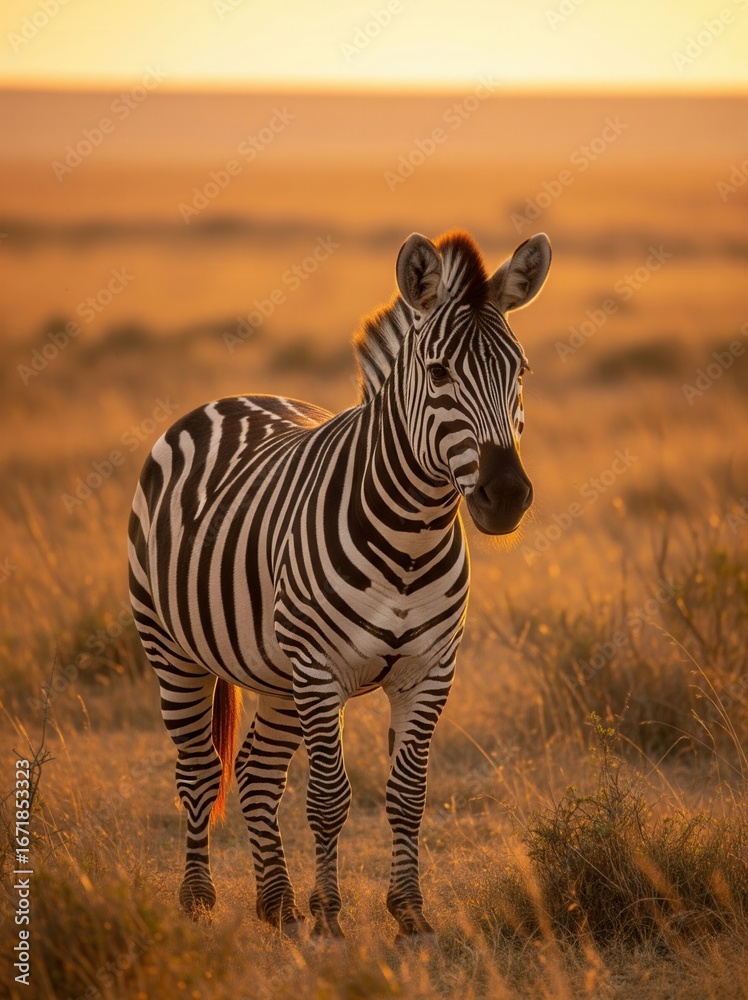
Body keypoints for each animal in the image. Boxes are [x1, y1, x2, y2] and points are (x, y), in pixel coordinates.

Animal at [128, 228, 551, 939]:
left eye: (520, 372)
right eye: (439, 373)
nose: (507, 497)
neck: (410, 540)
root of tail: (229, 398)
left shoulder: (430, 671)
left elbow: (408, 794)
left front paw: (408, 910)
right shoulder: (321, 668)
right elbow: (329, 797)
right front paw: (330, 915)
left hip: (276, 675)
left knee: (256, 774)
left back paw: (276, 904)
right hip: (176, 652)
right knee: (200, 772)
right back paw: (199, 899)